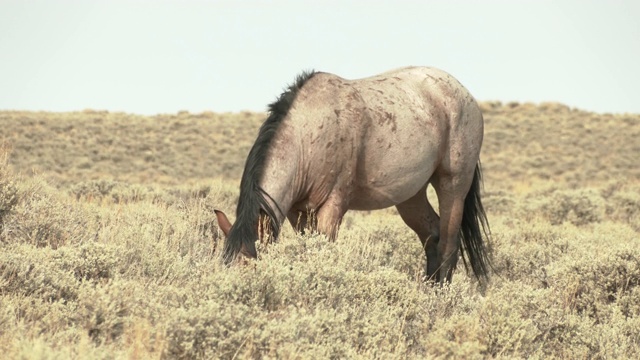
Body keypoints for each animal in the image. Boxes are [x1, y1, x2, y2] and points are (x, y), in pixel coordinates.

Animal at [215, 66, 490, 282]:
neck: (308, 136)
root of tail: (463, 93)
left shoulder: (332, 207)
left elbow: (323, 252)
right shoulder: (297, 213)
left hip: (453, 186)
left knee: (448, 245)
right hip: (411, 195)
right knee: (432, 236)